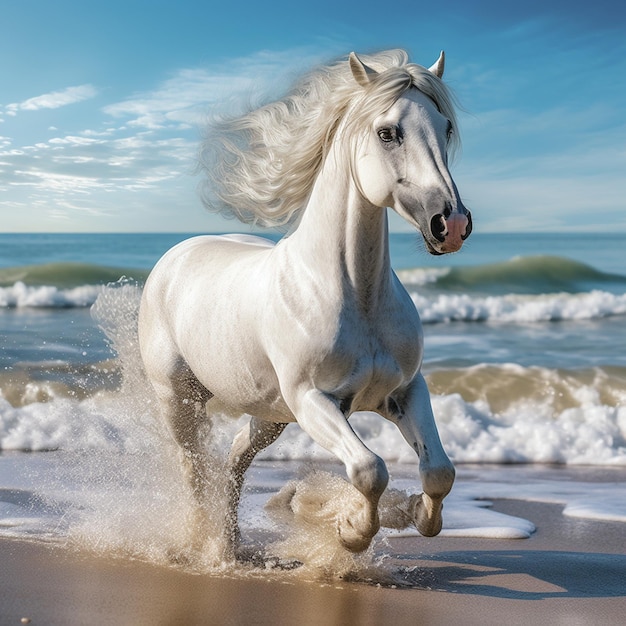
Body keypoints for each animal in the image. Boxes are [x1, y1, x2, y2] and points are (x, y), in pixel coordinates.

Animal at [136, 50, 468, 556]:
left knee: (234, 461)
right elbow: (369, 470)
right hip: (181, 399)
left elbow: (439, 470)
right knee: (193, 471)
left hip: (269, 414)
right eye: (387, 132)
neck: (353, 295)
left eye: (445, 127)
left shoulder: (405, 392)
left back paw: (231, 546)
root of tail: (176, 256)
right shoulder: (314, 399)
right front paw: (350, 530)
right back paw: (202, 547)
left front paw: (418, 515)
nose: (450, 224)